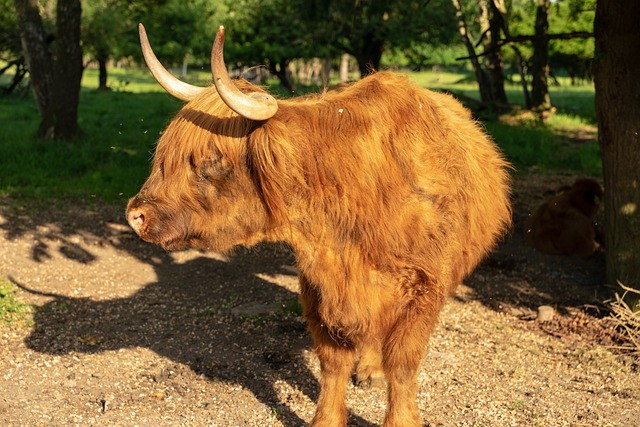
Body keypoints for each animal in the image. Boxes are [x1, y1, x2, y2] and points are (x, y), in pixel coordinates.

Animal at [127, 24, 512, 427]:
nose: (135, 214)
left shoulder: (424, 290)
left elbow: (402, 365)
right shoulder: (319, 287)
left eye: (210, 161)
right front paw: (327, 417)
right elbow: (333, 360)